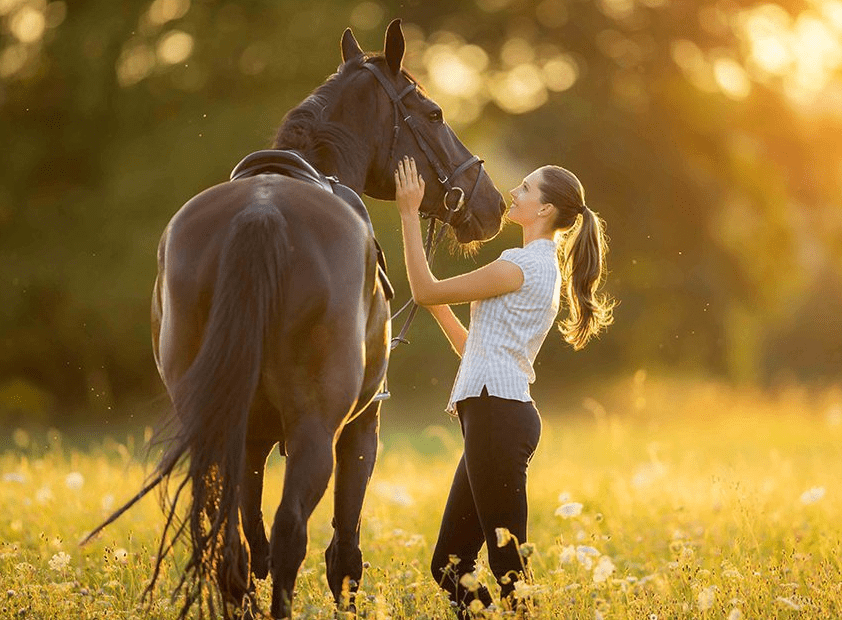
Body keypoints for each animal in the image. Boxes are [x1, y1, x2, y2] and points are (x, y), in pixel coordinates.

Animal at [90, 19, 506, 620]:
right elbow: (343, 554)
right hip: (314, 431)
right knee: (291, 536)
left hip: (215, 427)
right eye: (433, 114)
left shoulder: (250, 440)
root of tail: (260, 213)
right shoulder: (361, 427)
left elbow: (248, 536)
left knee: (229, 546)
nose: (492, 203)